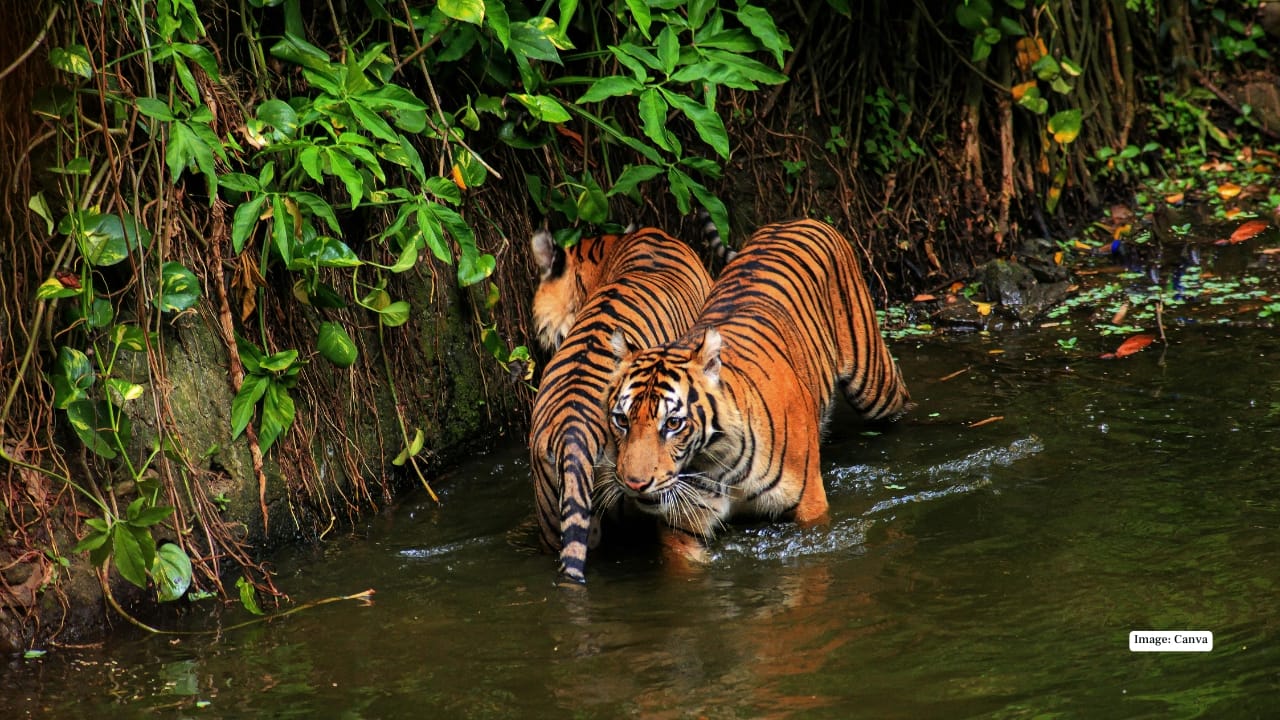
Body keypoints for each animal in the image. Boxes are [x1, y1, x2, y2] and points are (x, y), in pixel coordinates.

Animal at [601, 218, 912, 563]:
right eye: (621, 420)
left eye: (673, 423)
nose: (635, 484)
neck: (716, 463)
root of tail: (799, 219)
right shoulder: (683, 528)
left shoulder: (810, 507)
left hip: (873, 384)